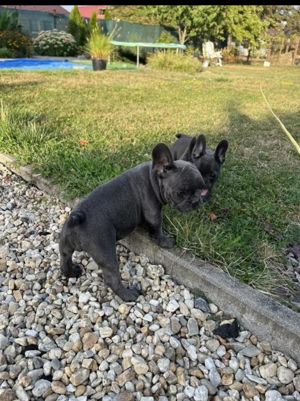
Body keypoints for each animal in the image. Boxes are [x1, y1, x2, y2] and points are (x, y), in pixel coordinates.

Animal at [59, 143, 209, 300]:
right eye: (181, 193)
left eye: (200, 189)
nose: (196, 201)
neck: (154, 178)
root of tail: (77, 219)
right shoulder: (153, 212)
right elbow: (157, 227)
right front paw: (165, 241)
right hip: (104, 251)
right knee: (111, 278)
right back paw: (128, 295)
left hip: (65, 243)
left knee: (64, 258)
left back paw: (71, 272)